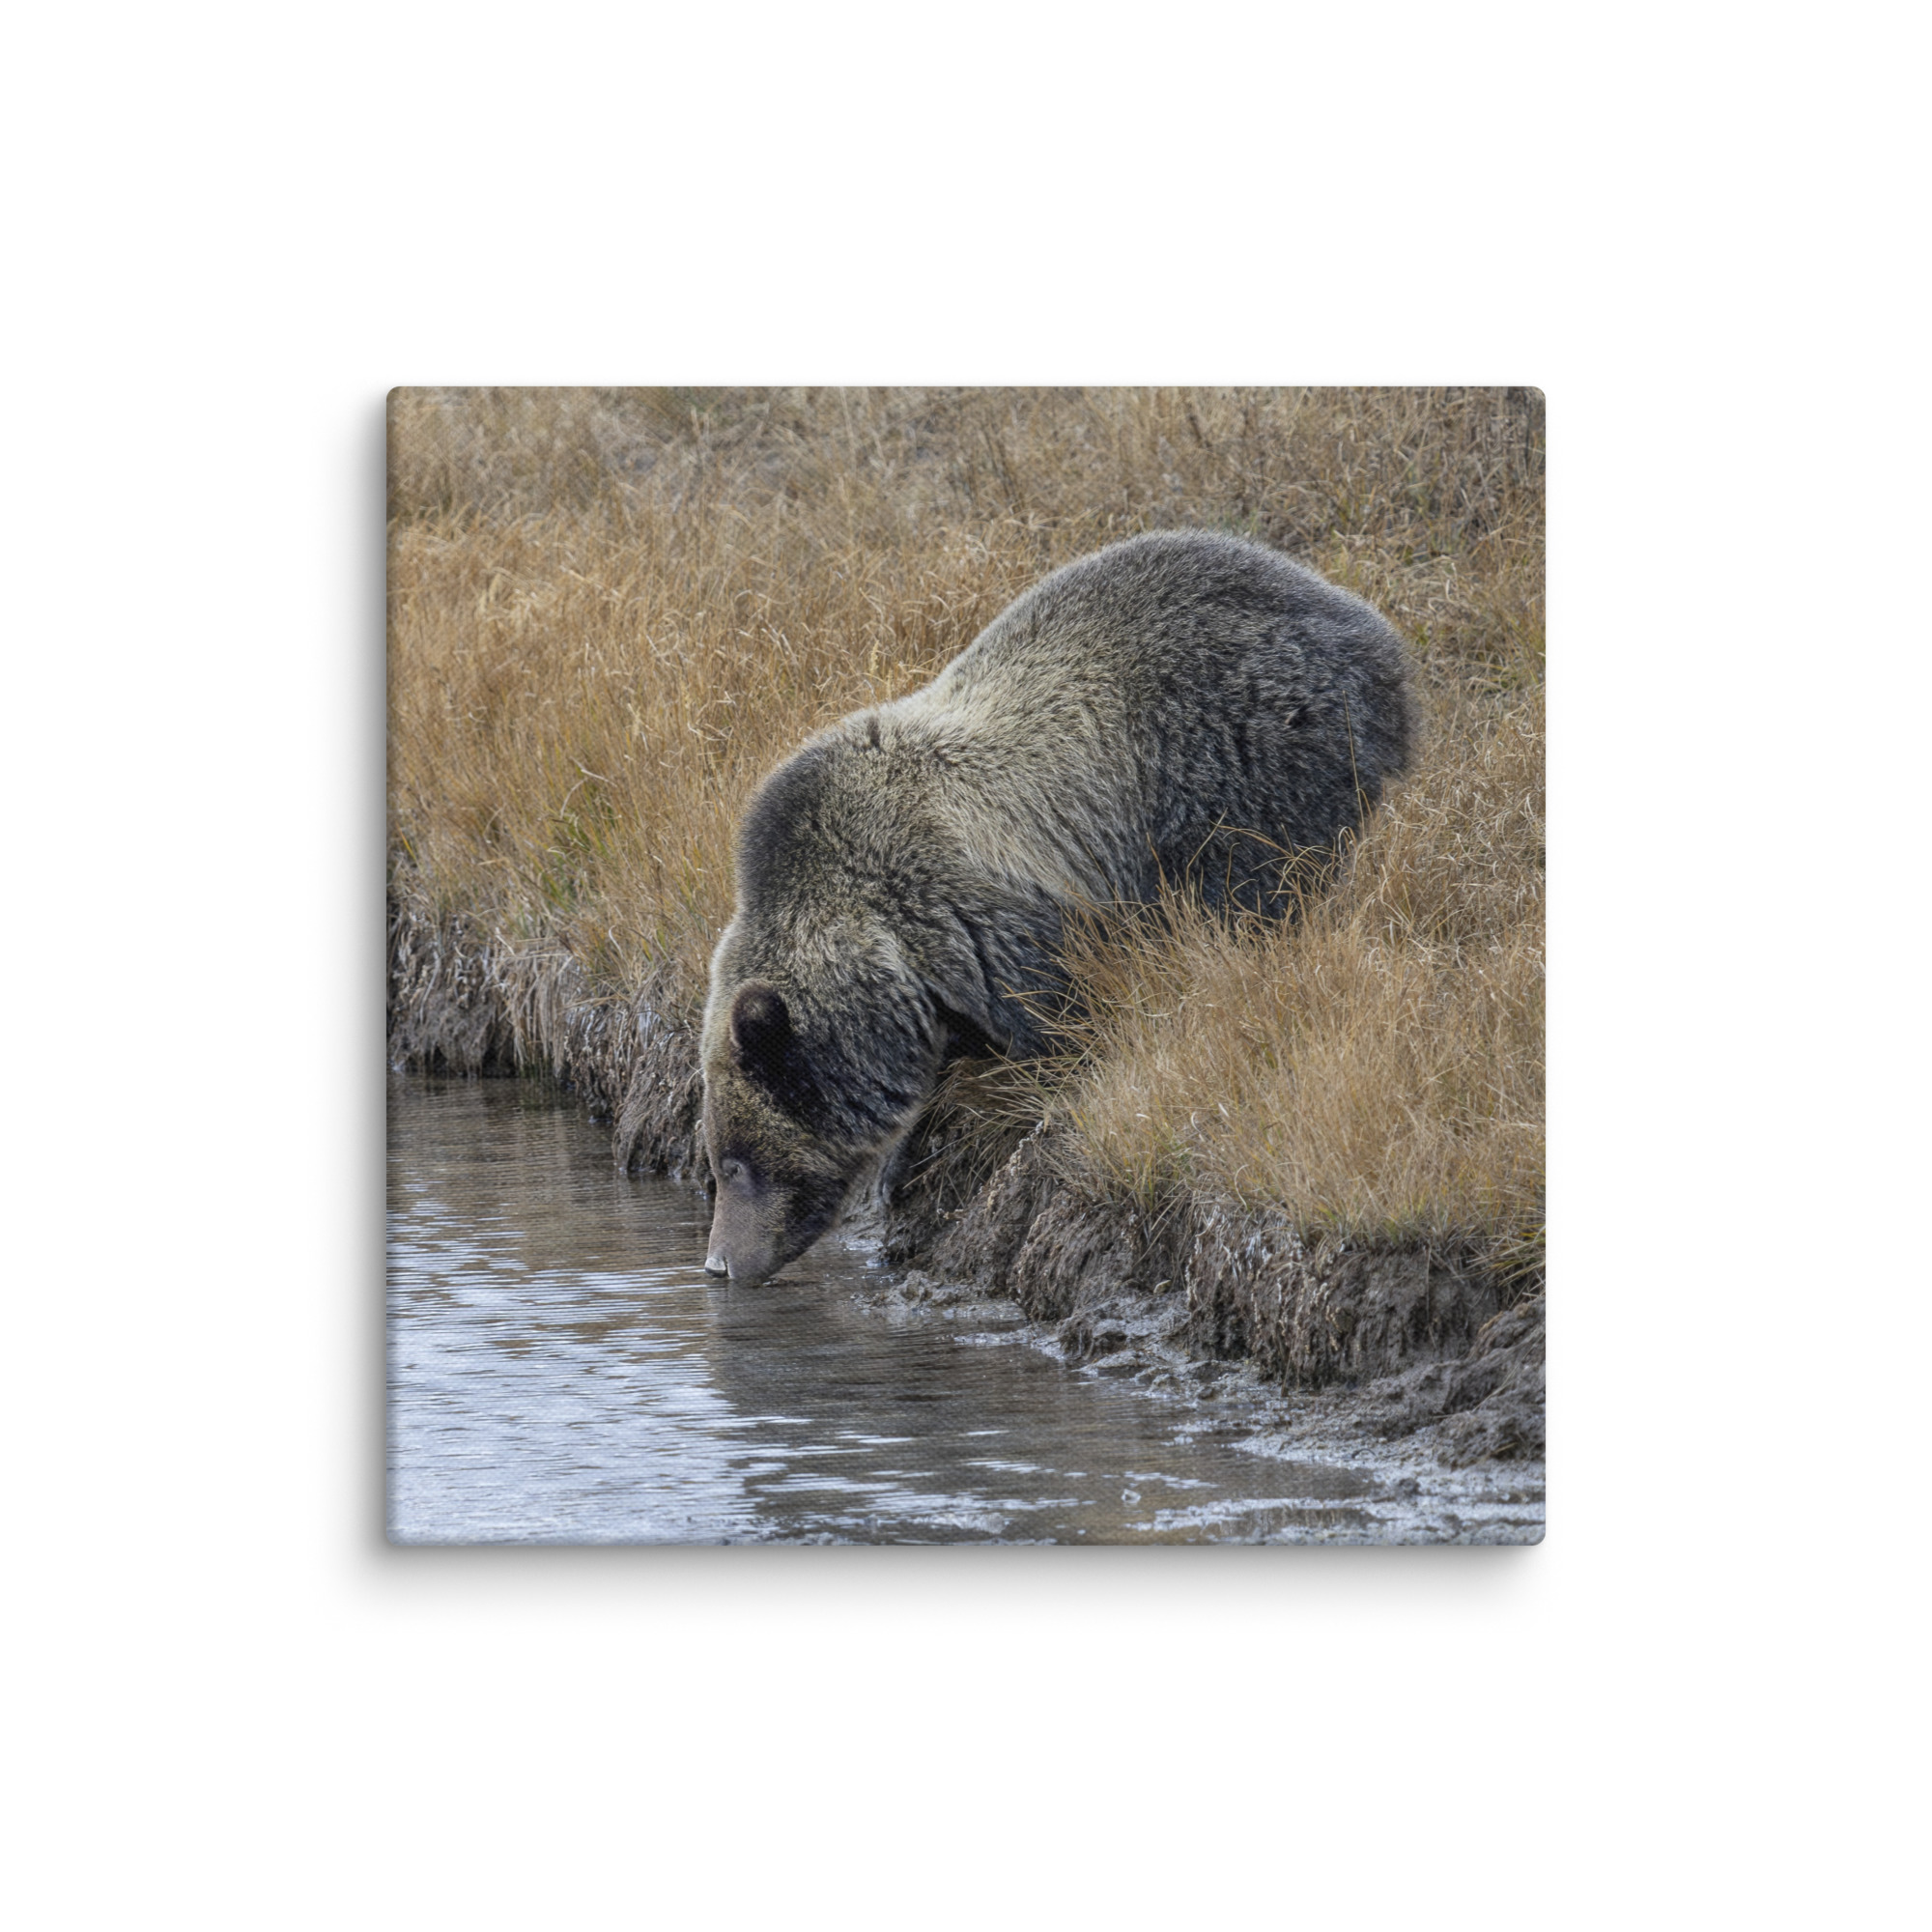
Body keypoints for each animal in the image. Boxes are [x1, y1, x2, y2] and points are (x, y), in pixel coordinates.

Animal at [699, 529, 1413, 1282]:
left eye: (736, 1163)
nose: (718, 1263)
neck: (888, 949)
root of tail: (1367, 625)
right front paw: (901, 1160)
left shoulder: (982, 918)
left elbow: (1056, 1021)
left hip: (1244, 755)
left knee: (1254, 887)